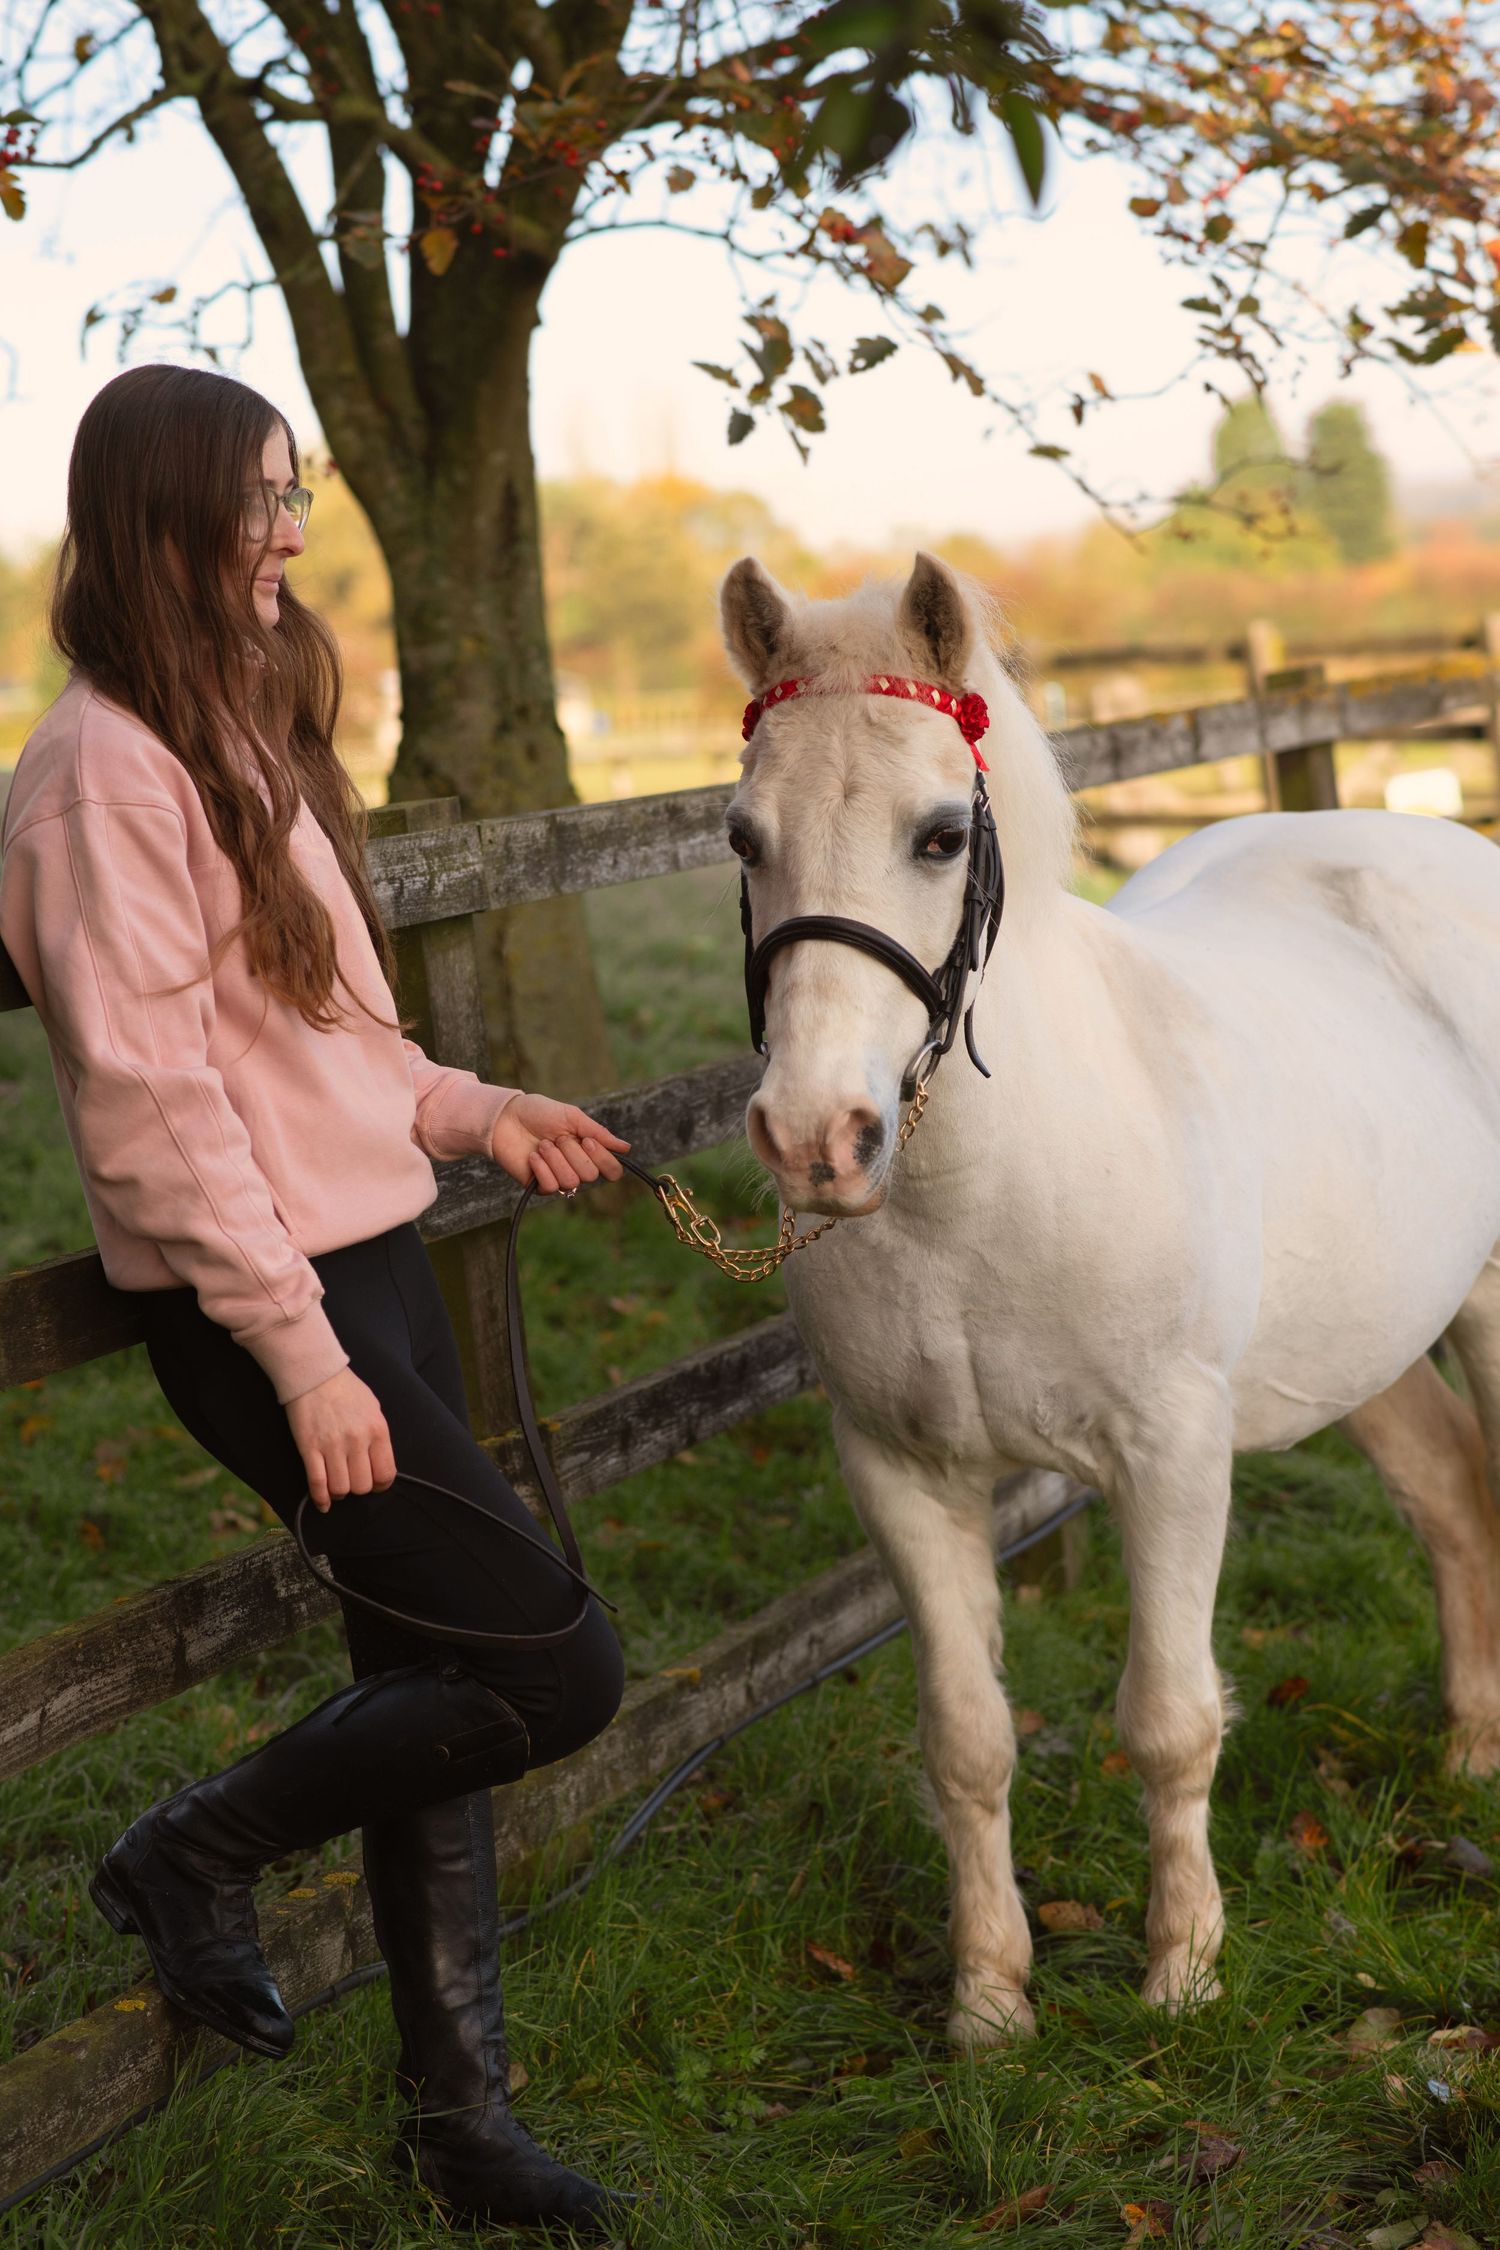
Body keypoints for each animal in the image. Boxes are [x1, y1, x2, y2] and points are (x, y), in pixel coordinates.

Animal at [719, 549, 1500, 2046]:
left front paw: (1183, 1972)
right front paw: (988, 2001)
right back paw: (1472, 1753)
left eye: (938, 837)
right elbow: (966, 1742)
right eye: (741, 837)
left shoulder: (1173, 1459)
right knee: (1453, 1498)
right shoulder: (902, 1474)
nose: (815, 1137)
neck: (978, 1199)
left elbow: (1171, 1718)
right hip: (1363, 1348)